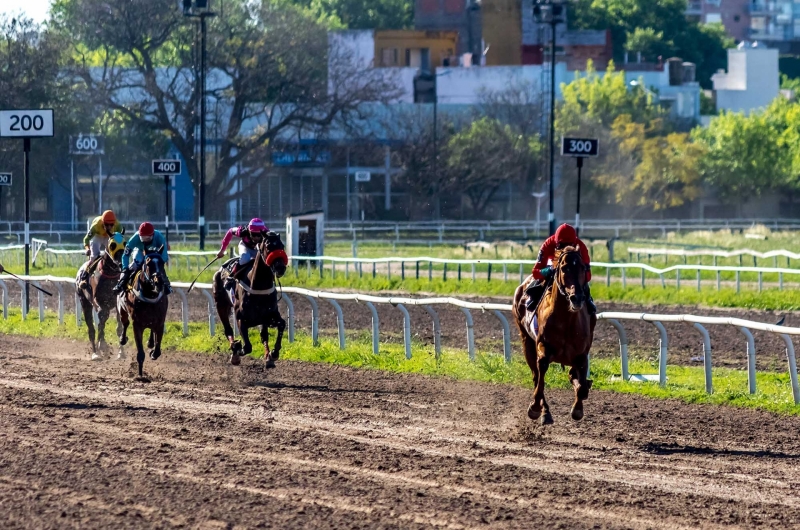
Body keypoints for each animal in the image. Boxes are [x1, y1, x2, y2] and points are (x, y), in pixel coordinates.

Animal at [116, 245, 170, 378]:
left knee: (151, 329)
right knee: (125, 323)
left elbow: (157, 349)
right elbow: (140, 353)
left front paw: (153, 352)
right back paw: (122, 339)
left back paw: (150, 343)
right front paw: (140, 374)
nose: (158, 282)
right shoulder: (137, 324)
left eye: (162, 262)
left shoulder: (160, 322)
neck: (150, 295)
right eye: (148, 263)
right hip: (121, 309)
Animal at [212, 236, 288, 366]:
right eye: (268, 246)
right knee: (228, 330)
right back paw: (234, 351)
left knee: (264, 335)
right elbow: (247, 347)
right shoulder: (241, 319)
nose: (280, 268)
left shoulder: (269, 315)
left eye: (282, 246)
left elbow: (281, 325)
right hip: (220, 305)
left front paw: (274, 353)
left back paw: (268, 358)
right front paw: (237, 348)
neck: (258, 286)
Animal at [512, 245, 592, 422]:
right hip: (526, 341)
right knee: (536, 376)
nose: (577, 298)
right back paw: (545, 411)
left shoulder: (581, 353)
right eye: (564, 268)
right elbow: (541, 375)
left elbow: (581, 385)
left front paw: (578, 407)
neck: (566, 319)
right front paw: (536, 407)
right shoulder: (543, 346)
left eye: (583, 268)